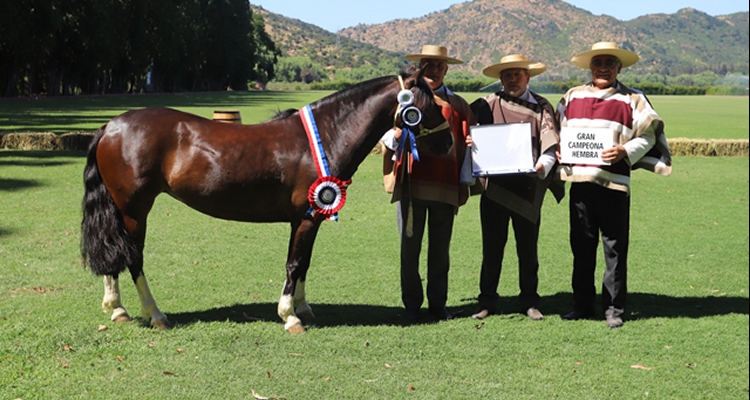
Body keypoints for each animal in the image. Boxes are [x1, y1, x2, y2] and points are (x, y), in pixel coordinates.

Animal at [81, 69, 452, 334]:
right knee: (133, 258)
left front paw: (303, 308)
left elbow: (304, 263)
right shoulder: (305, 217)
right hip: (135, 209)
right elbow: (294, 263)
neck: (327, 134)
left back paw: (118, 309)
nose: (449, 142)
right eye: (429, 103)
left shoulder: (310, 218)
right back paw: (154, 314)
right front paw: (290, 316)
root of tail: (110, 126)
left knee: (114, 253)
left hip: (122, 209)